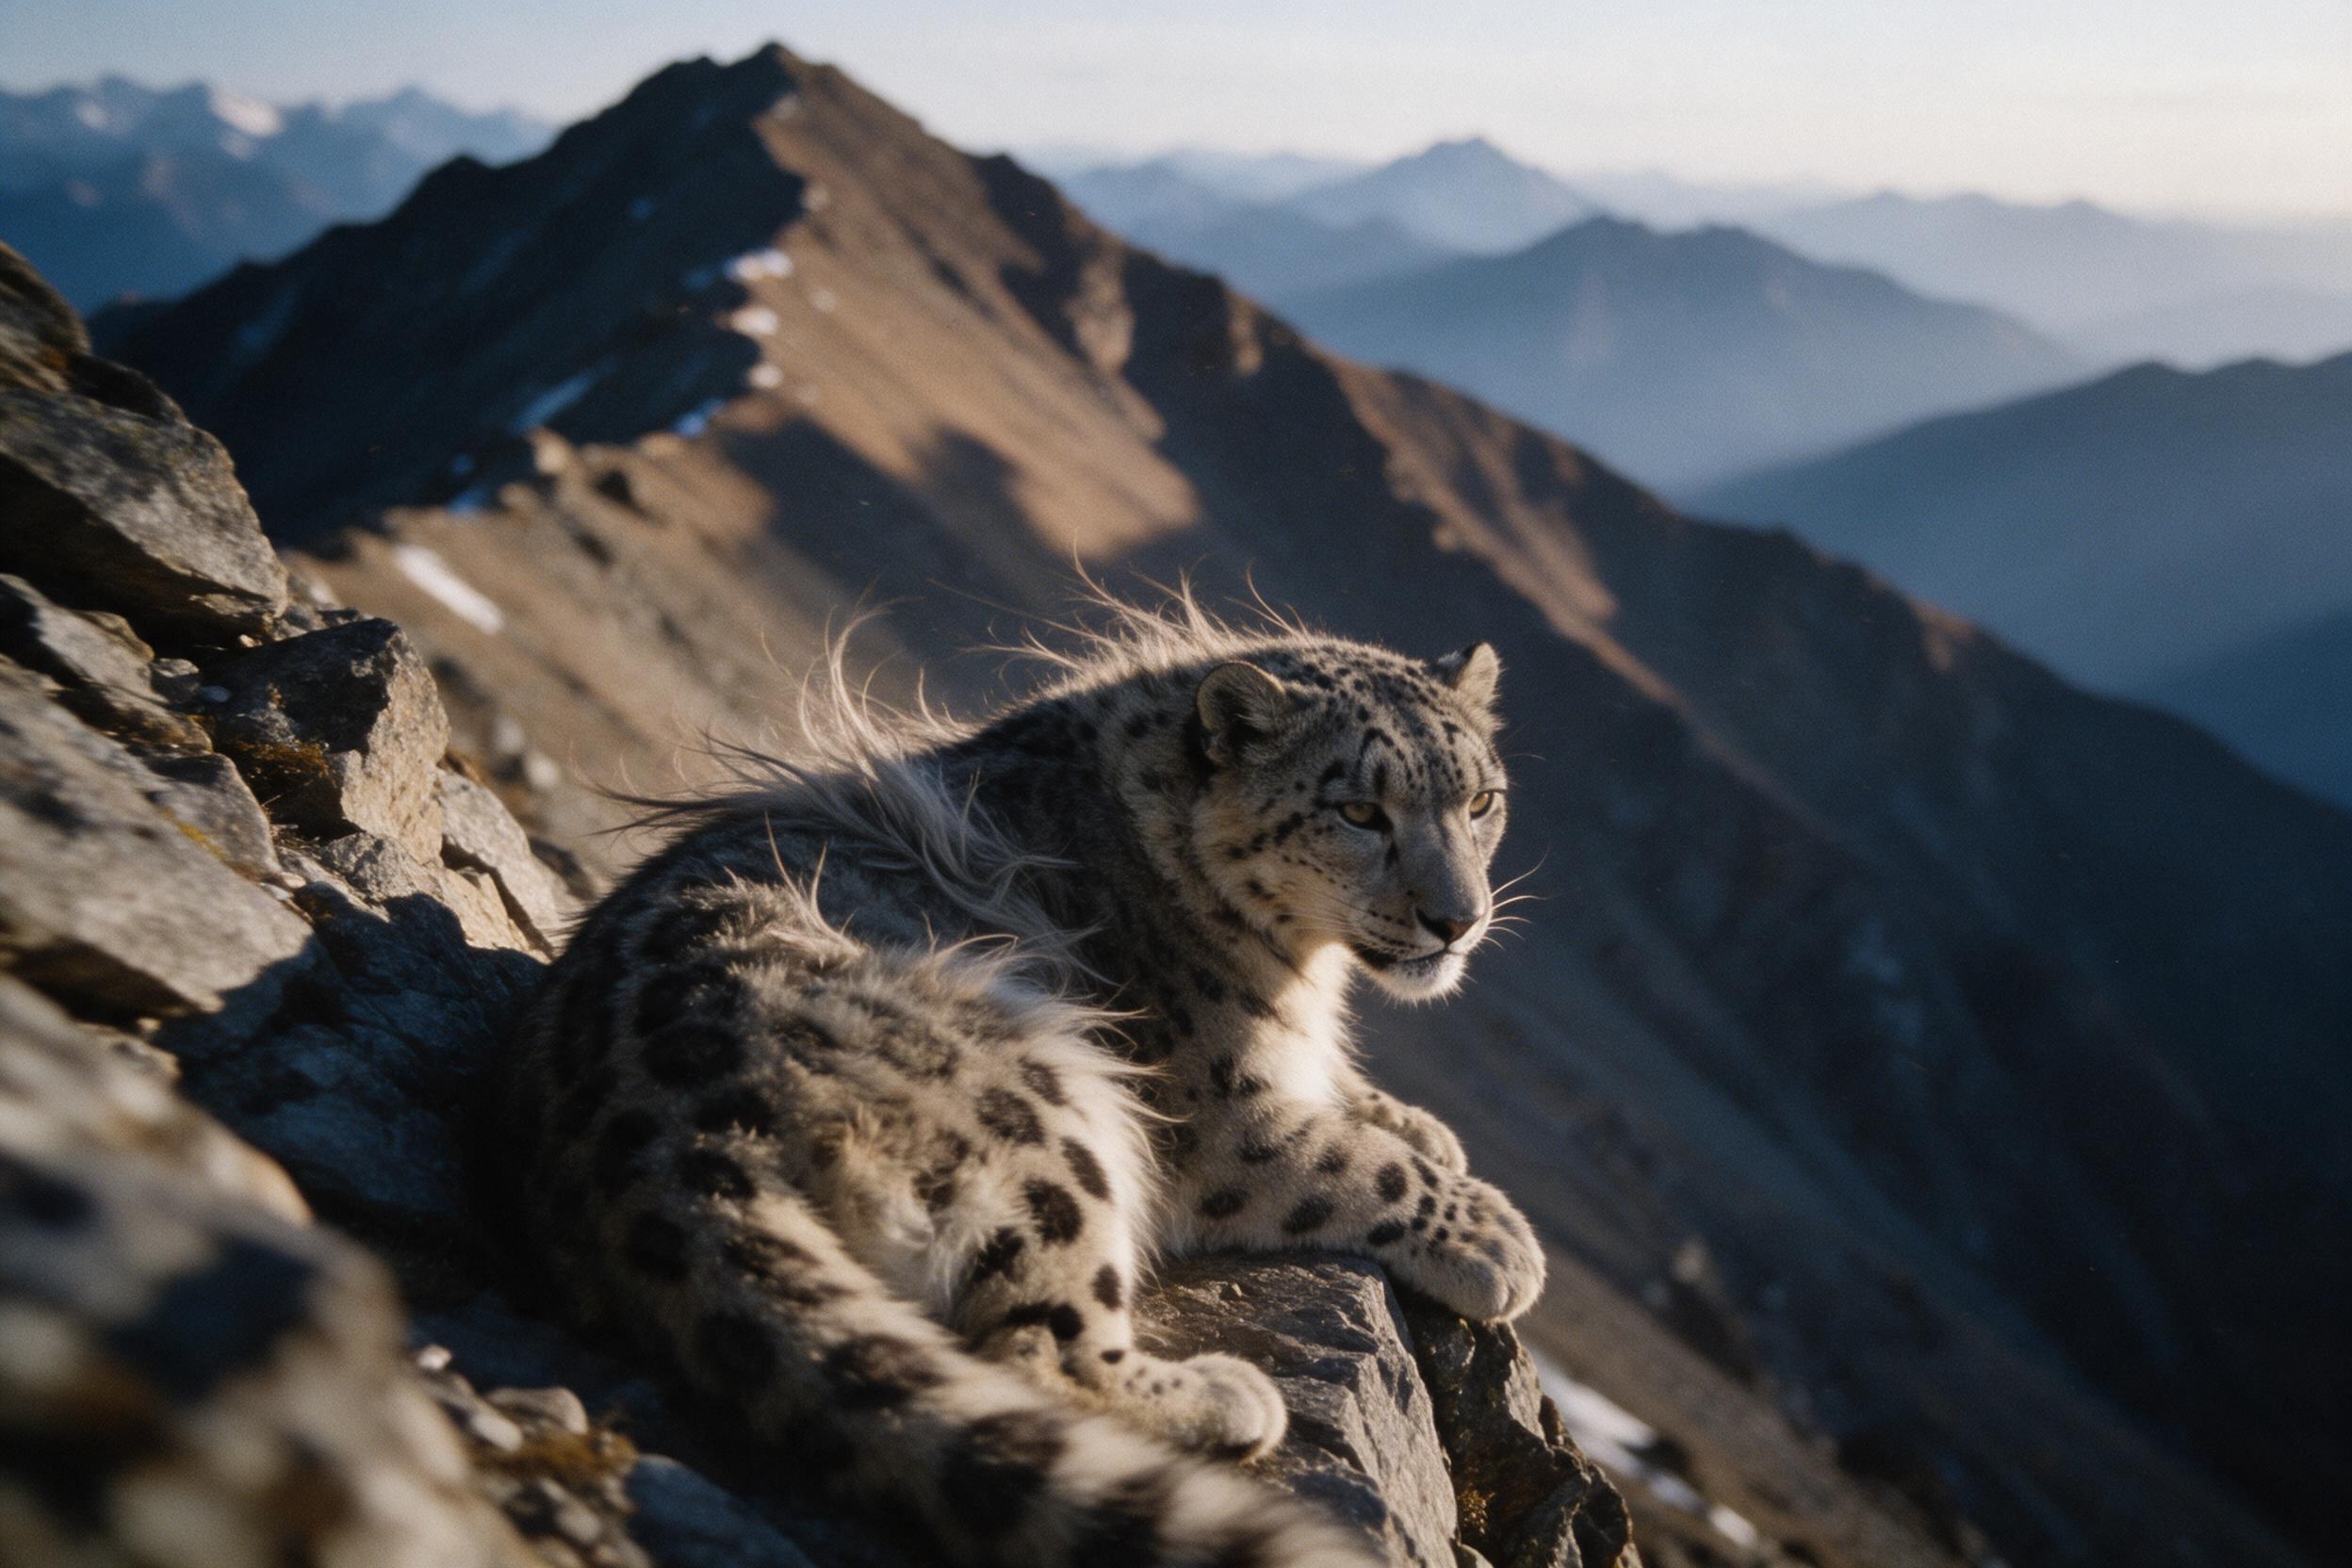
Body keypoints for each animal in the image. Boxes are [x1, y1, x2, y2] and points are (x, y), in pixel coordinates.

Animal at [479, 597, 1544, 1567]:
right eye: (1360, 810)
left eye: (1481, 801)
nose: (1459, 920)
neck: (1303, 969)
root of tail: (650, 1138)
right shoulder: (1216, 1119)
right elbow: (1351, 1160)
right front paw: (1495, 1236)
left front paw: (1417, 1120)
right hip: (1045, 1097)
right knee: (1036, 1350)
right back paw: (1231, 1394)